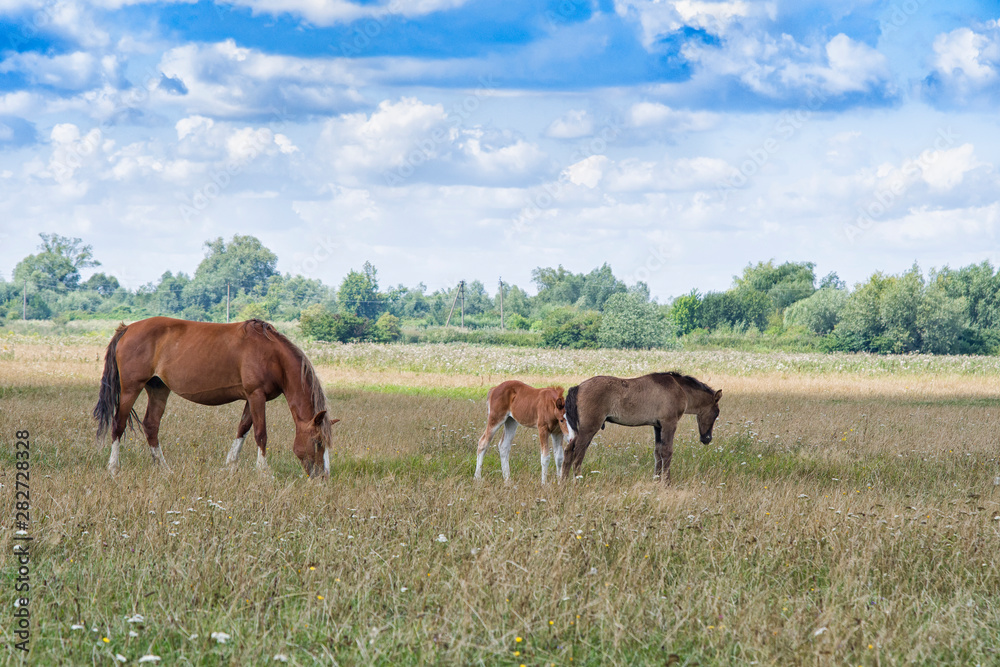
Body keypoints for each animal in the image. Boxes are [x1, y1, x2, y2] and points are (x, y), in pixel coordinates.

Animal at [94, 318, 336, 474]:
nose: (323, 476)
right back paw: (113, 468)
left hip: (158, 388)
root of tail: (127, 328)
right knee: (118, 424)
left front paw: (230, 465)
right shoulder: (256, 395)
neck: (273, 355)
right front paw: (263, 471)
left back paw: (164, 468)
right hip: (130, 388)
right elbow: (260, 434)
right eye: (317, 442)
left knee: (151, 426)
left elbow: (242, 429)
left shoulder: (253, 398)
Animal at [564, 374, 720, 482]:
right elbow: (667, 452)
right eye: (717, 413)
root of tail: (578, 387)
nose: (707, 438)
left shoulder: (658, 426)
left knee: (568, 451)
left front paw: (656, 479)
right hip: (589, 428)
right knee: (578, 453)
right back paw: (578, 481)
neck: (678, 388)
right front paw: (667, 482)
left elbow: (658, 452)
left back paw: (563, 482)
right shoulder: (669, 424)